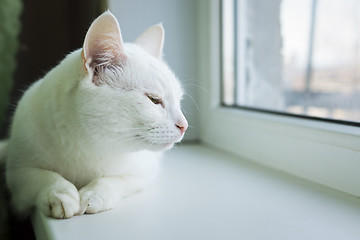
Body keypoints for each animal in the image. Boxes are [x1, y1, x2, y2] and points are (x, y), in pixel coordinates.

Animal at [0, 10, 188, 219]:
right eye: (154, 100)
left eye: (179, 100)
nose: (184, 125)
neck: (85, 146)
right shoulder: (17, 172)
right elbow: (44, 177)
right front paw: (59, 193)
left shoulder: (144, 172)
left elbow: (112, 179)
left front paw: (94, 194)